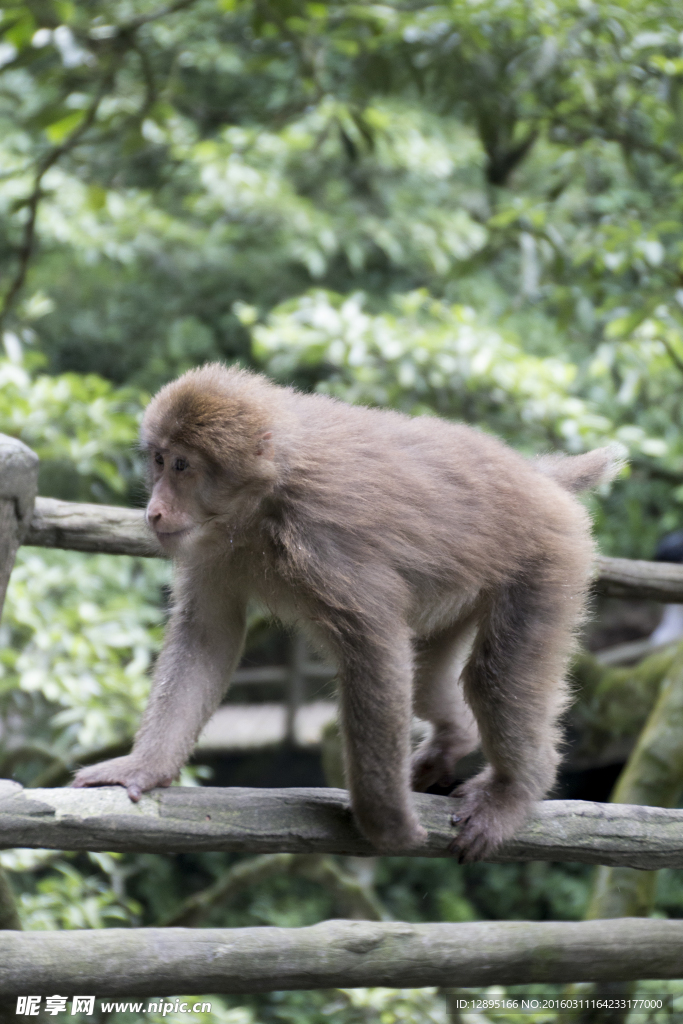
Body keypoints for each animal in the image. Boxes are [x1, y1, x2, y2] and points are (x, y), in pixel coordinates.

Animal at [73, 364, 626, 860]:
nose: (154, 511)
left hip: (548, 563)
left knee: (494, 678)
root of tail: (537, 476)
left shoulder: (322, 541)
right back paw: (457, 735)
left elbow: (374, 651)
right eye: (159, 460)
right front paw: (144, 766)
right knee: (428, 675)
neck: (265, 500)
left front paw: (386, 824)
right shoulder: (212, 547)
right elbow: (208, 635)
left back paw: (515, 790)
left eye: (183, 466)